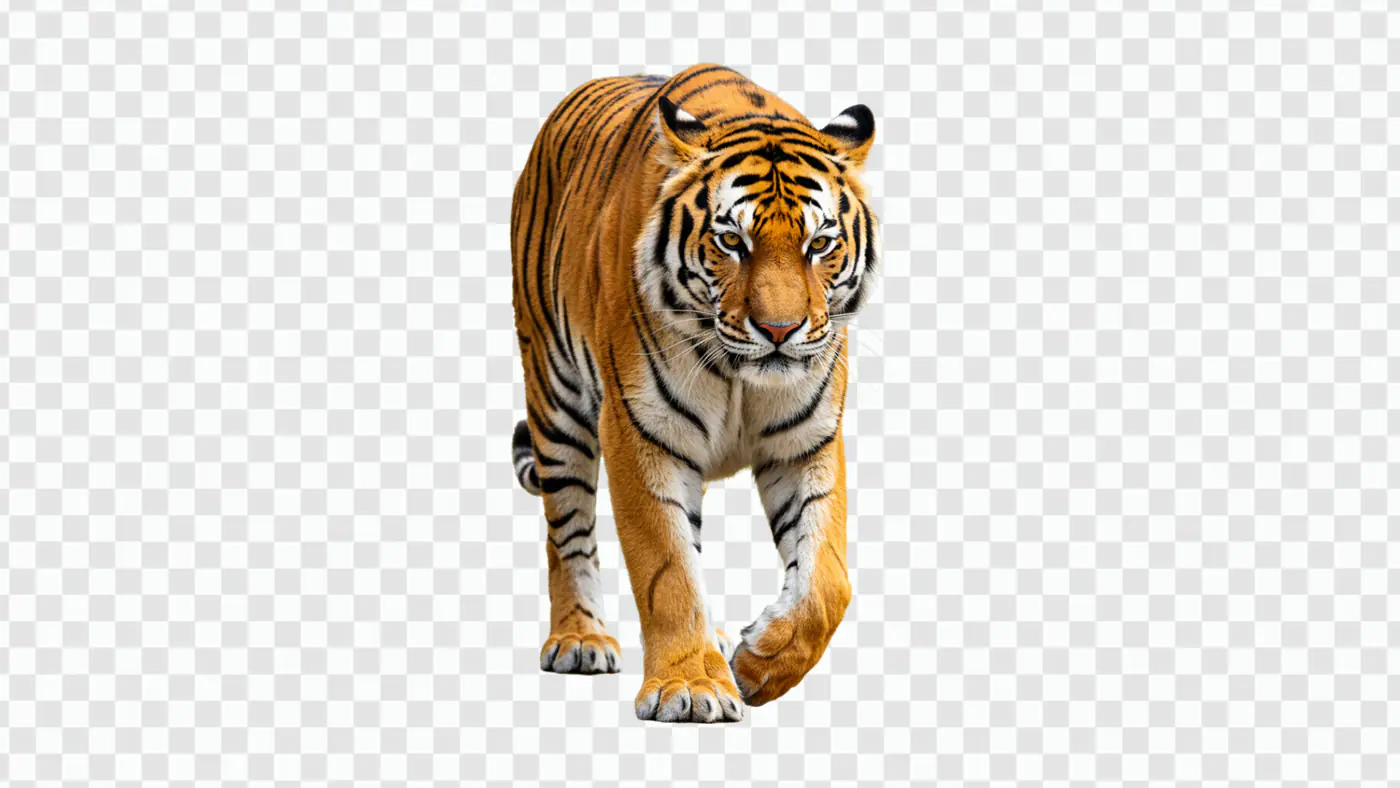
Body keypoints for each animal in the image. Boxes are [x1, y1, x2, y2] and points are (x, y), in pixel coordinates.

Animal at [509, 64, 879, 723]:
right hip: (555, 397)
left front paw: (757, 666)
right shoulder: (641, 434)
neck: (740, 374)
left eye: (819, 245)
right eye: (732, 242)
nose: (780, 330)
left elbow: (827, 581)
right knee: (567, 532)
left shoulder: (806, 442)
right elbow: (668, 569)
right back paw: (580, 637)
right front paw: (691, 686)